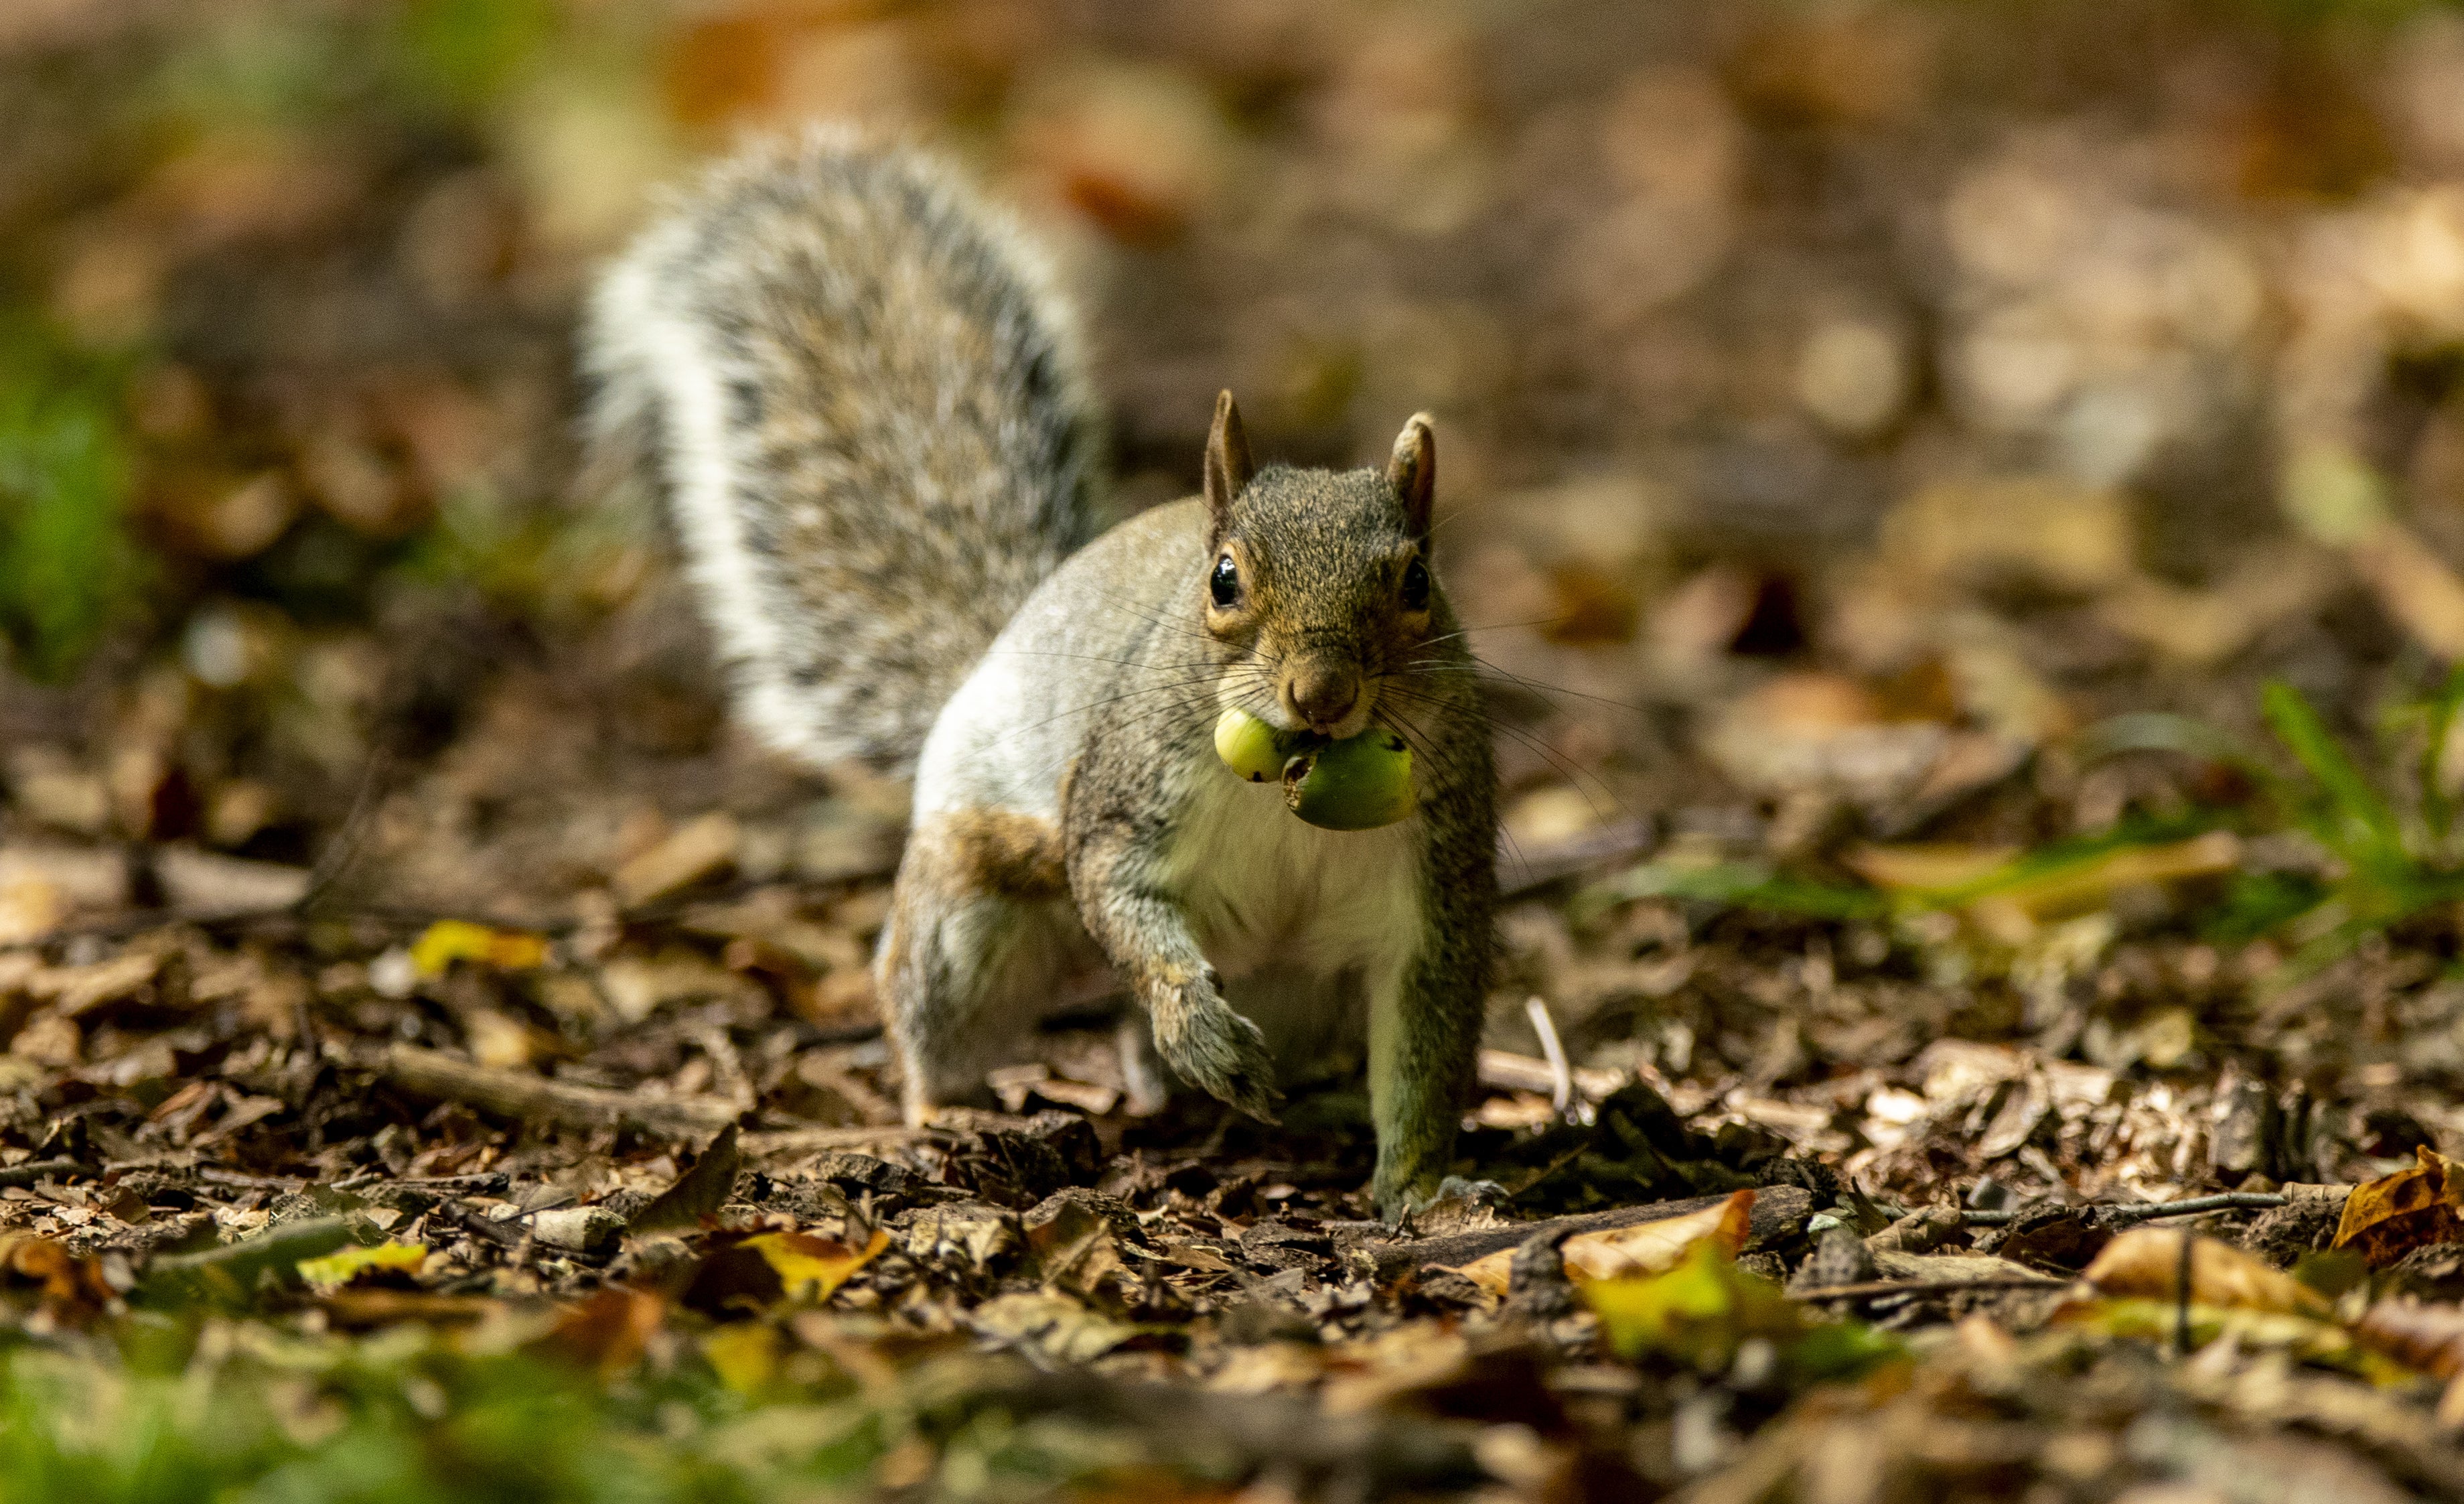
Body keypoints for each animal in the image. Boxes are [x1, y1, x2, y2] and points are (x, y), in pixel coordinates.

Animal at [586, 125, 1488, 1208]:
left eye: (1416, 582)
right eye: (1224, 578)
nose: (1321, 694)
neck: (1289, 787)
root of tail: (998, 644)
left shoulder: (1432, 886)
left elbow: (1425, 1052)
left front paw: (1423, 1192)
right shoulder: (1124, 797)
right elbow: (1117, 896)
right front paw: (1193, 1019)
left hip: (1301, 991)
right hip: (968, 917)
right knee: (934, 1011)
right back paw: (957, 1108)